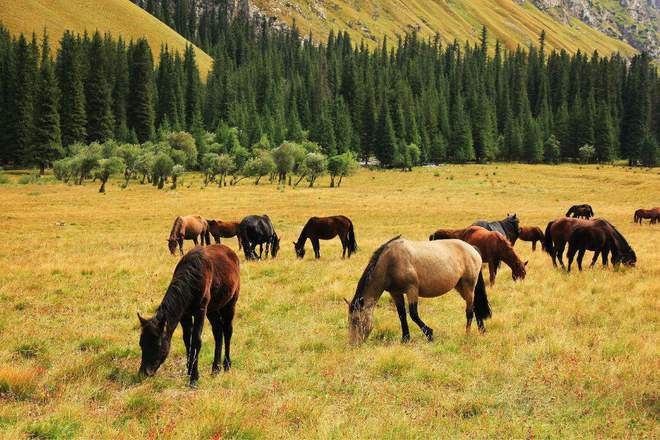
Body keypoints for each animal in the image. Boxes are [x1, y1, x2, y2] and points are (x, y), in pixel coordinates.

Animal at [138, 246, 241, 386]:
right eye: (141, 344)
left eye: (158, 345)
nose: (145, 372)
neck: (193, 278)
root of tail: (231, 253)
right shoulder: (184, 314)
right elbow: (187, 339)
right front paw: (188, 369)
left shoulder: (200, 311)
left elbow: (196, 340)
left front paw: (194, 377)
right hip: (212, 309)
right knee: (218, 332)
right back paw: (215, 368)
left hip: (230, 302)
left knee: (228, 330)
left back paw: (226, 365)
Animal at [346, 235, 490, 346]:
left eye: (356, 320)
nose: (353, 344)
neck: (391, 262)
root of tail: (472, 248)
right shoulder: (396, 293)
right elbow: (401, 314)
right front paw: (405, 338)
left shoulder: (412, 290)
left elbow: (413, 314)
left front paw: (429, 334)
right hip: (461, 287)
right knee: (475, 307)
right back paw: (481, 331)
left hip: (468, 287)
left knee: (469, 311)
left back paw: (467, 334)